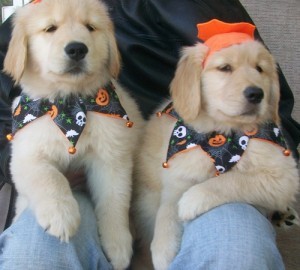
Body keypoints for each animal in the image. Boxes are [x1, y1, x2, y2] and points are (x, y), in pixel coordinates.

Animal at [4, 0, 143, 268]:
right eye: (50, 28)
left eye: (90, 27)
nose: (77, 49)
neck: (69, 104)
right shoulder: (25, 156)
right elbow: (49, 177)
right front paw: (61, 215)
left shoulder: (112, 160)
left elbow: (115, 201)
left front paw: (118, 246)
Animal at [132, 20, 298, 268]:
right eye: (225, 68)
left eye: (259, 69)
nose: (256, 93)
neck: (223, 135)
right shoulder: (177, 172)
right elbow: (167, 209)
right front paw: (163, 249)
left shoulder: (283, 176)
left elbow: (231, 180)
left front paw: (193, 199)